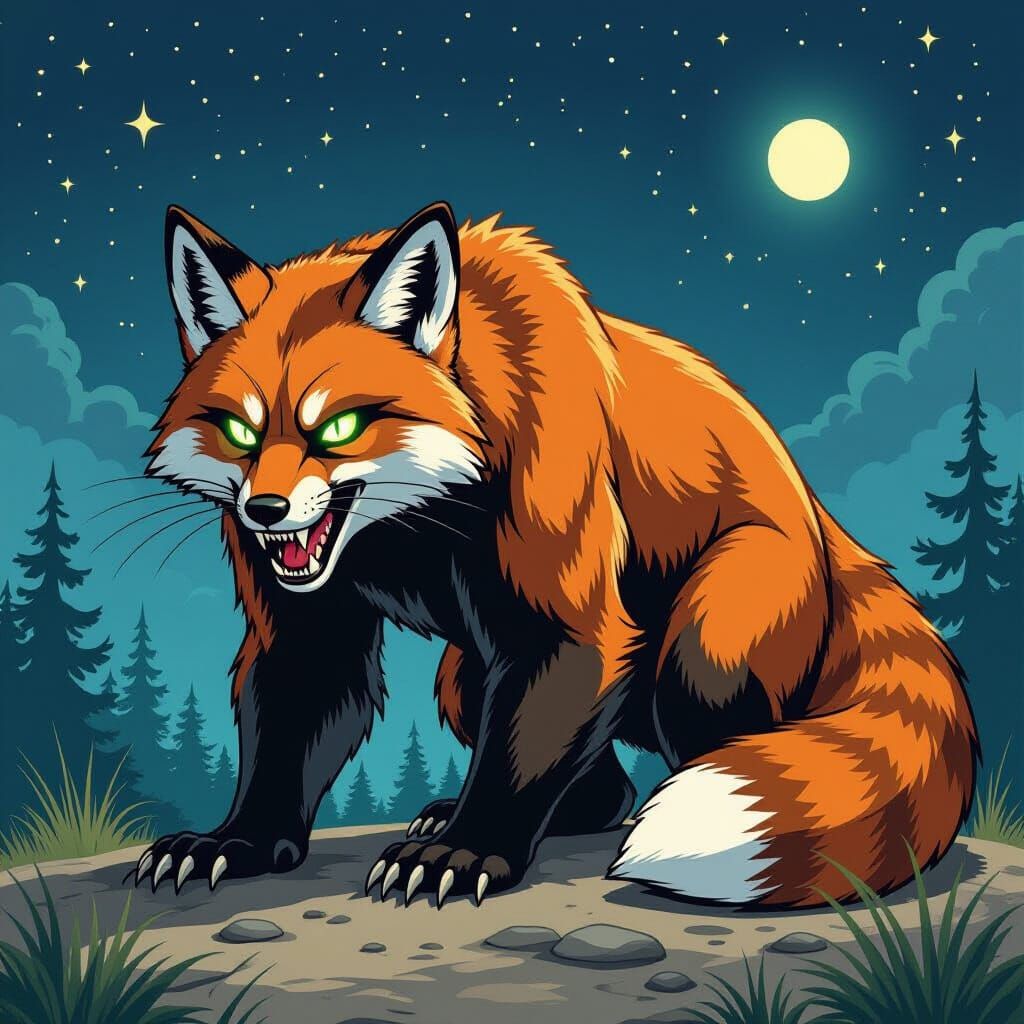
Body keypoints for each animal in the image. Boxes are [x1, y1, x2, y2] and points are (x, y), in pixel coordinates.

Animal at [137, 200, 978, 909]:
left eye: (338, 427)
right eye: (241, 433)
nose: (265, 511)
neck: (413, 530)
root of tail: (823, 520)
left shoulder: (570, 617)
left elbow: (527, 739)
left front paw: (466, 852)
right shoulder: (306, 626)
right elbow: (287, 735)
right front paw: (236, 842)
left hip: (702, 650)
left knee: (711, 740)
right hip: (463, 676)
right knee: (604, 787)